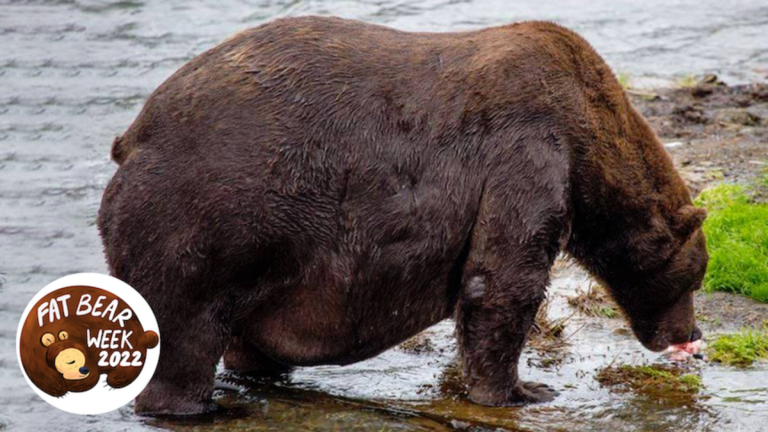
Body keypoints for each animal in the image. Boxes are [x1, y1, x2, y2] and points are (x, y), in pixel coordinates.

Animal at [97, 17, 708, 415]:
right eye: (695, 276)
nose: (692, 334)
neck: (590, 144)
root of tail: (133, 135)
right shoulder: (528, 150)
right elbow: (504, 278)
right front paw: (521, 391)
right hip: (205, 217)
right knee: (183, 331)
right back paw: (195, 406)